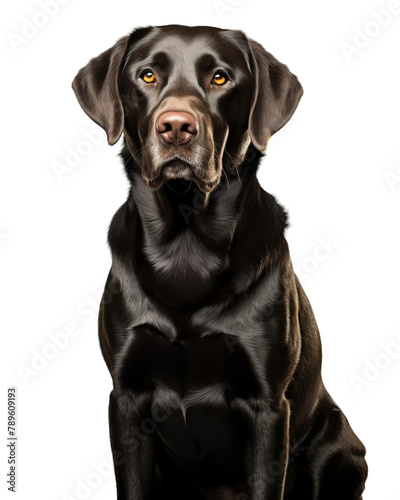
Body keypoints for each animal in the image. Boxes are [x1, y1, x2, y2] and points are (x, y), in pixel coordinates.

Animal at [72, 24, 368, 500]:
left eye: (220, 78)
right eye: (148, 75)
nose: (176, 128)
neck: (186, 248)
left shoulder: (268, 407)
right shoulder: (127, 401)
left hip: (337, 441)